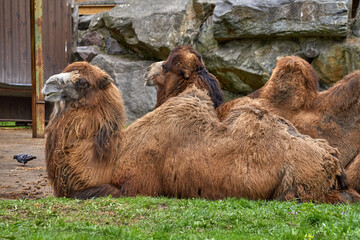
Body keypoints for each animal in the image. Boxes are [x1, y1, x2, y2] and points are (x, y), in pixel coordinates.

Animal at [43, 60, 360, 202]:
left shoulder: (135, 186)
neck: (111, 157)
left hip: (294, 190)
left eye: (82, 81)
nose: (47, 85)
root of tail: (333, 162)